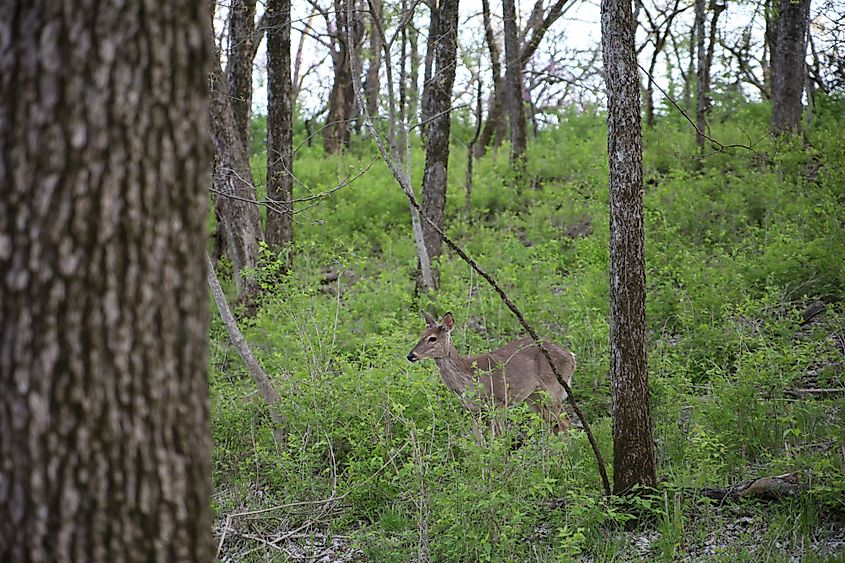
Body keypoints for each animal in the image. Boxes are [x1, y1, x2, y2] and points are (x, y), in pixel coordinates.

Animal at [408, 310, 576, 434]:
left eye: (432, 338)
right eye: (421, 336)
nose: (411, 355)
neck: (469, 378)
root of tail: (571, 357)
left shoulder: (499, 401)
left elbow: (498, 438)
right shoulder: (472, 409)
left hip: (552, 389)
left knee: (564, 423)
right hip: (533, 397)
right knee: (555, 424)